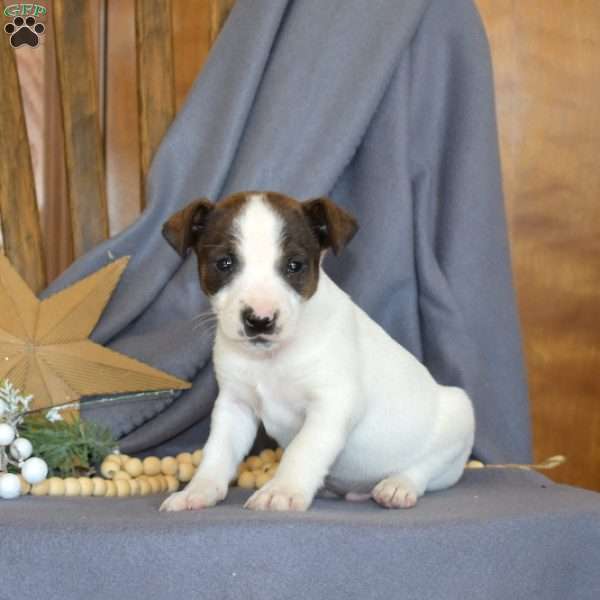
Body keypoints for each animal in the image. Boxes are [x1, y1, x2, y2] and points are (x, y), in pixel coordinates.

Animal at [158, 191, 474, 510]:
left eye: (294, 265)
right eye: (224, 263)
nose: (260, 320)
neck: (271, 359)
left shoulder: (333, 403)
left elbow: (303, 449)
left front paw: (282, 491)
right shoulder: (234, 406)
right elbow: (218, 453)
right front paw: (198, 490)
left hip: (458, 415)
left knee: (425, 468)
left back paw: (398, 486)